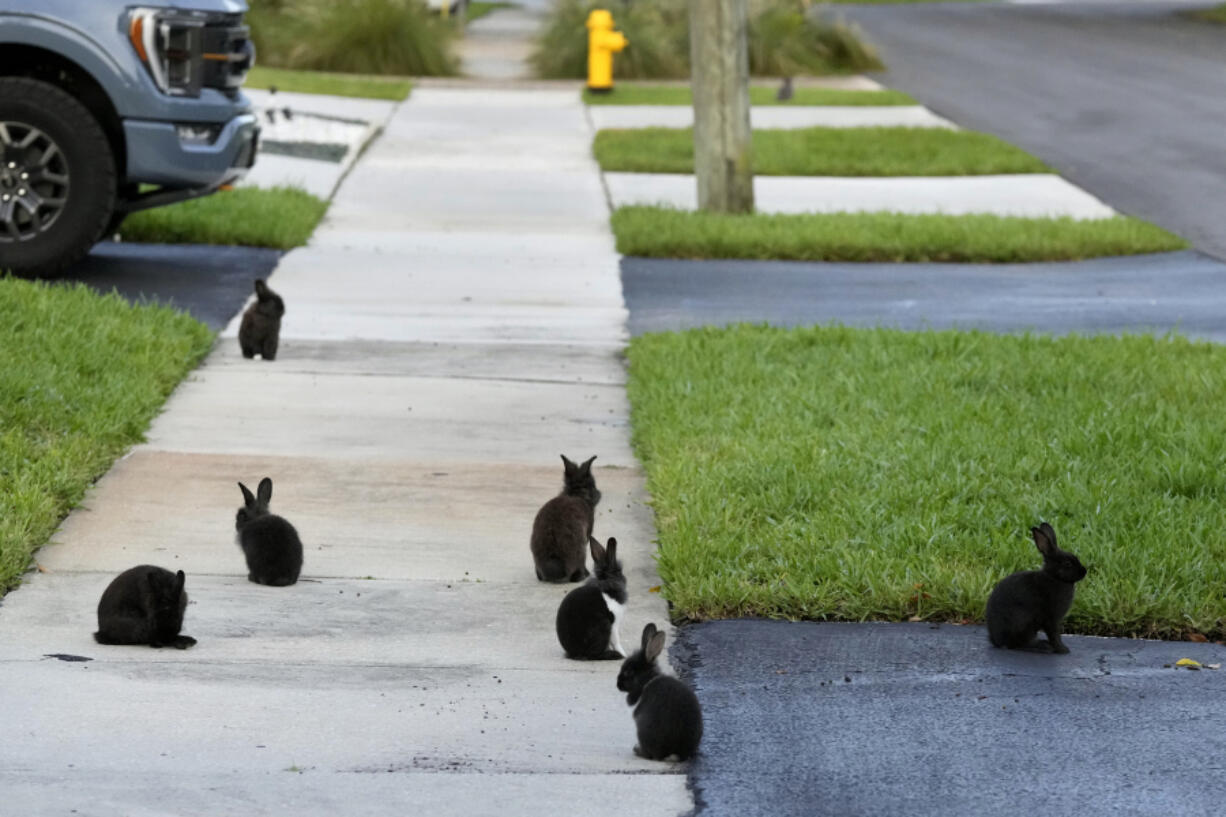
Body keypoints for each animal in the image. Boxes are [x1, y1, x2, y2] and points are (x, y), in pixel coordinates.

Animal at [617, 620, 706, 760]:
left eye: (629, 672)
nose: (618, 684)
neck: (646, 680)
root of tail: (674, 753)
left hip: (643, 728)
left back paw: (637, 750)